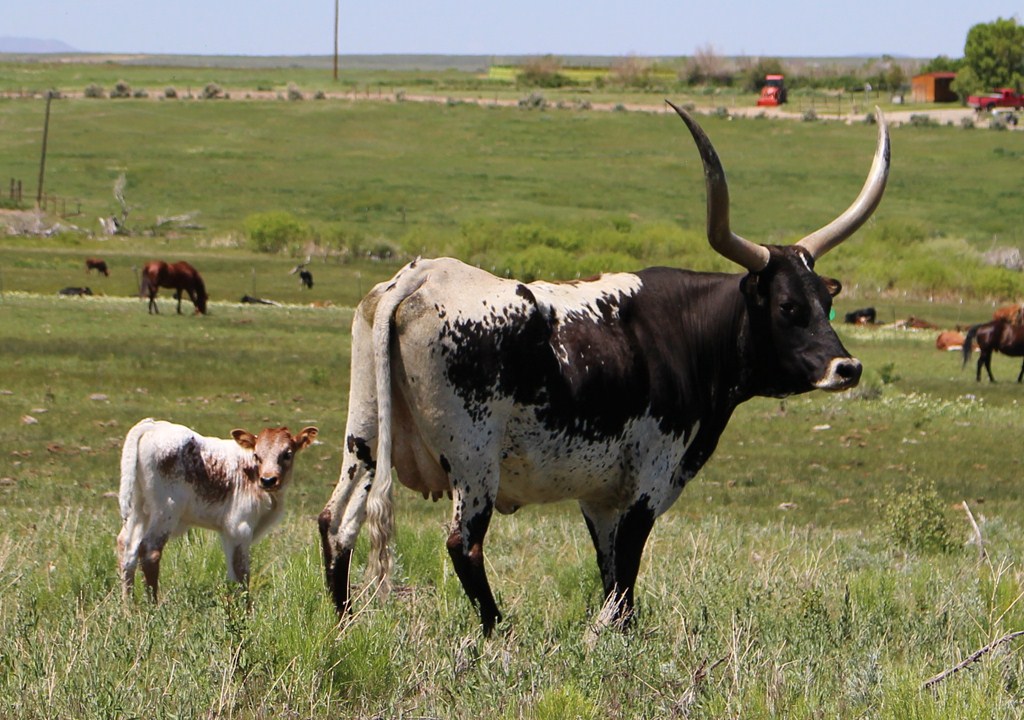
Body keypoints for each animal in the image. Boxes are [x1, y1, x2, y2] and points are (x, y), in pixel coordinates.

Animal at [117, 418, 318, 602]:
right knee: (150, 550)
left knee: (127, 547)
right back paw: (153, 607)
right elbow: (242, 575)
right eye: (256, 455)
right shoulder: (240, 527)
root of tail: (152, 425)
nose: (268, 480)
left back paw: (129, 608)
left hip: (138, 509)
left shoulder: (228, 532)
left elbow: (233, 576)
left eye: (287, 454)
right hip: (165, 509)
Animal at [318, 103, 890, 635]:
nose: (847, 367)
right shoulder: (651, 478)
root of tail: (422, 276)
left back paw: (345, 624)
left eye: (826, 302)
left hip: (364, 436)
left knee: (336, 523)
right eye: (788, 307)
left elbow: (611, 569)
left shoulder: (600, 493)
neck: (688, 334)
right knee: (463, 544)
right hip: (474, 461)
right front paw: (608, 635)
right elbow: (627, 570)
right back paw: (498, 633)